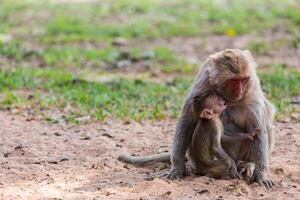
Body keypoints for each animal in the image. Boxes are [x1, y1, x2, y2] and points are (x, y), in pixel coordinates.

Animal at [118, 49, 276, 188]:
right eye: (233, 81)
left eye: (243, 80)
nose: (240, 92)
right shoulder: (204, 81)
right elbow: (188, 120)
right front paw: (177, 167)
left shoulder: (252, 92)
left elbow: (259, 128)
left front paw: (261, 174)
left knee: (266, 125)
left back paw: (247, 165)